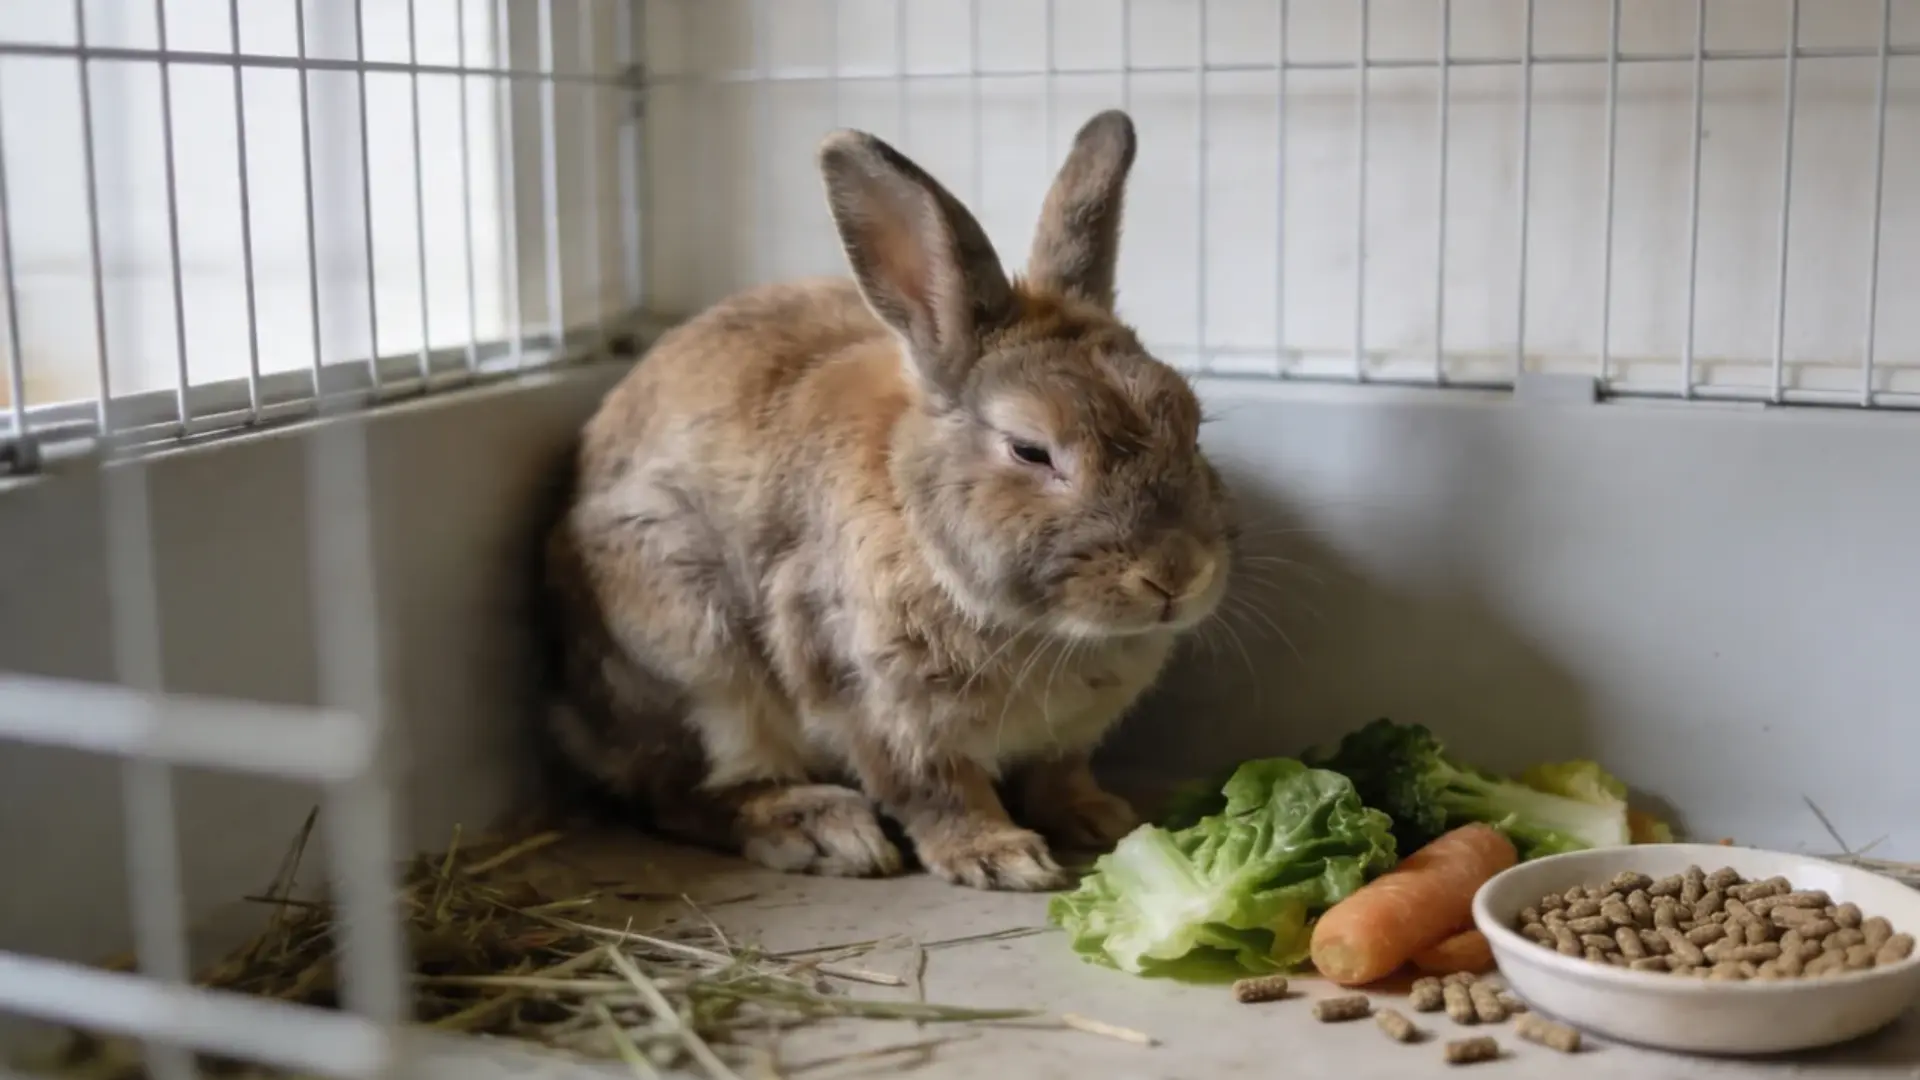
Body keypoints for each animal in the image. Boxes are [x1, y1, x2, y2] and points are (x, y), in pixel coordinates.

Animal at [540, 109, 1238, 891]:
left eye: (1191, 425)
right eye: (1031, 451)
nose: (1177, 576)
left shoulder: (1064, 738)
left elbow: (1058, 775)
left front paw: (1101, 819)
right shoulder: (874, 701)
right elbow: (935, 790)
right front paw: (1001, 857)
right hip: (692, 654)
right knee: (681, 790)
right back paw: (821, 830)